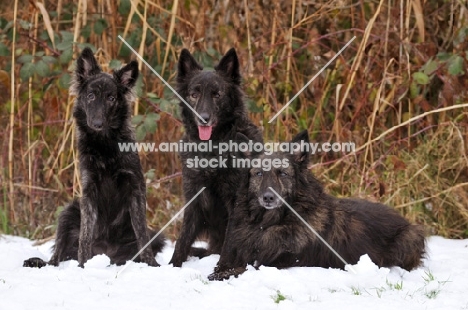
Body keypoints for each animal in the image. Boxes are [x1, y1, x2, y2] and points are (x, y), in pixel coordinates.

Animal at [25, 47, 166, 268]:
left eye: (111, 98)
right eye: (91, 96)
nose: (98, 123)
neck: (104, 146)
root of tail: (106, 253)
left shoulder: (135, 188)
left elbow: (142, 234)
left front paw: (152, 265)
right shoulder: (89, 192)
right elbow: (85, 236)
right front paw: (83, 267)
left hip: (157, 236)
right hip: (68, 212)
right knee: (56, 256)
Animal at [169, 47, 264, 266]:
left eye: (217, 95)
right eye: (194, 94)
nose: (203, 118)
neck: (212, 148)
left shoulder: (234, 202)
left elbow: (230, 242)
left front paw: (222, 269)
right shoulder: (194, 198)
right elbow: (181, 241)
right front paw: (172, 267)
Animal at [208, 130, 424, 280]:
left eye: (283, 174)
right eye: (259, 173)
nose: (269, 198)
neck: (267, 224)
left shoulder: (270, 263)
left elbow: (240, 268)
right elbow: (223, 265)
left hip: (408, 239)